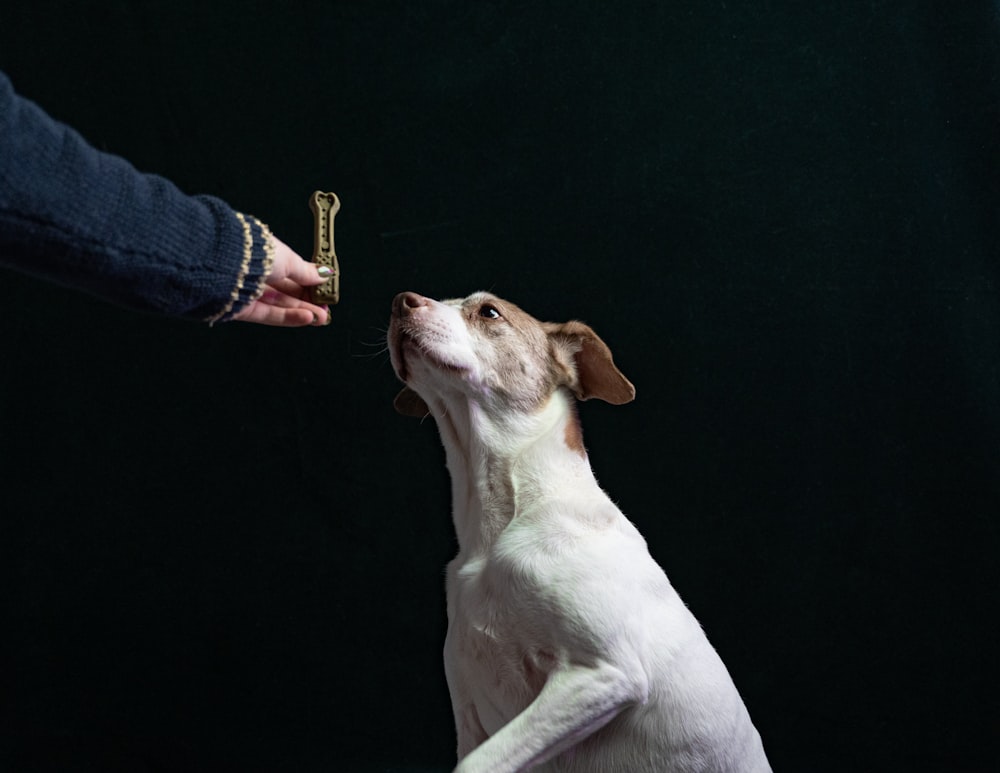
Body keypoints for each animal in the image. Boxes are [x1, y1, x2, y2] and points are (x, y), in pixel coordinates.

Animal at [386, 292, 768, 772]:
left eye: (489, 311)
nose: (401, 301)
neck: (503, 521)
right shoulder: (472, 716)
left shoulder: (603, 673)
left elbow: (480, 763)